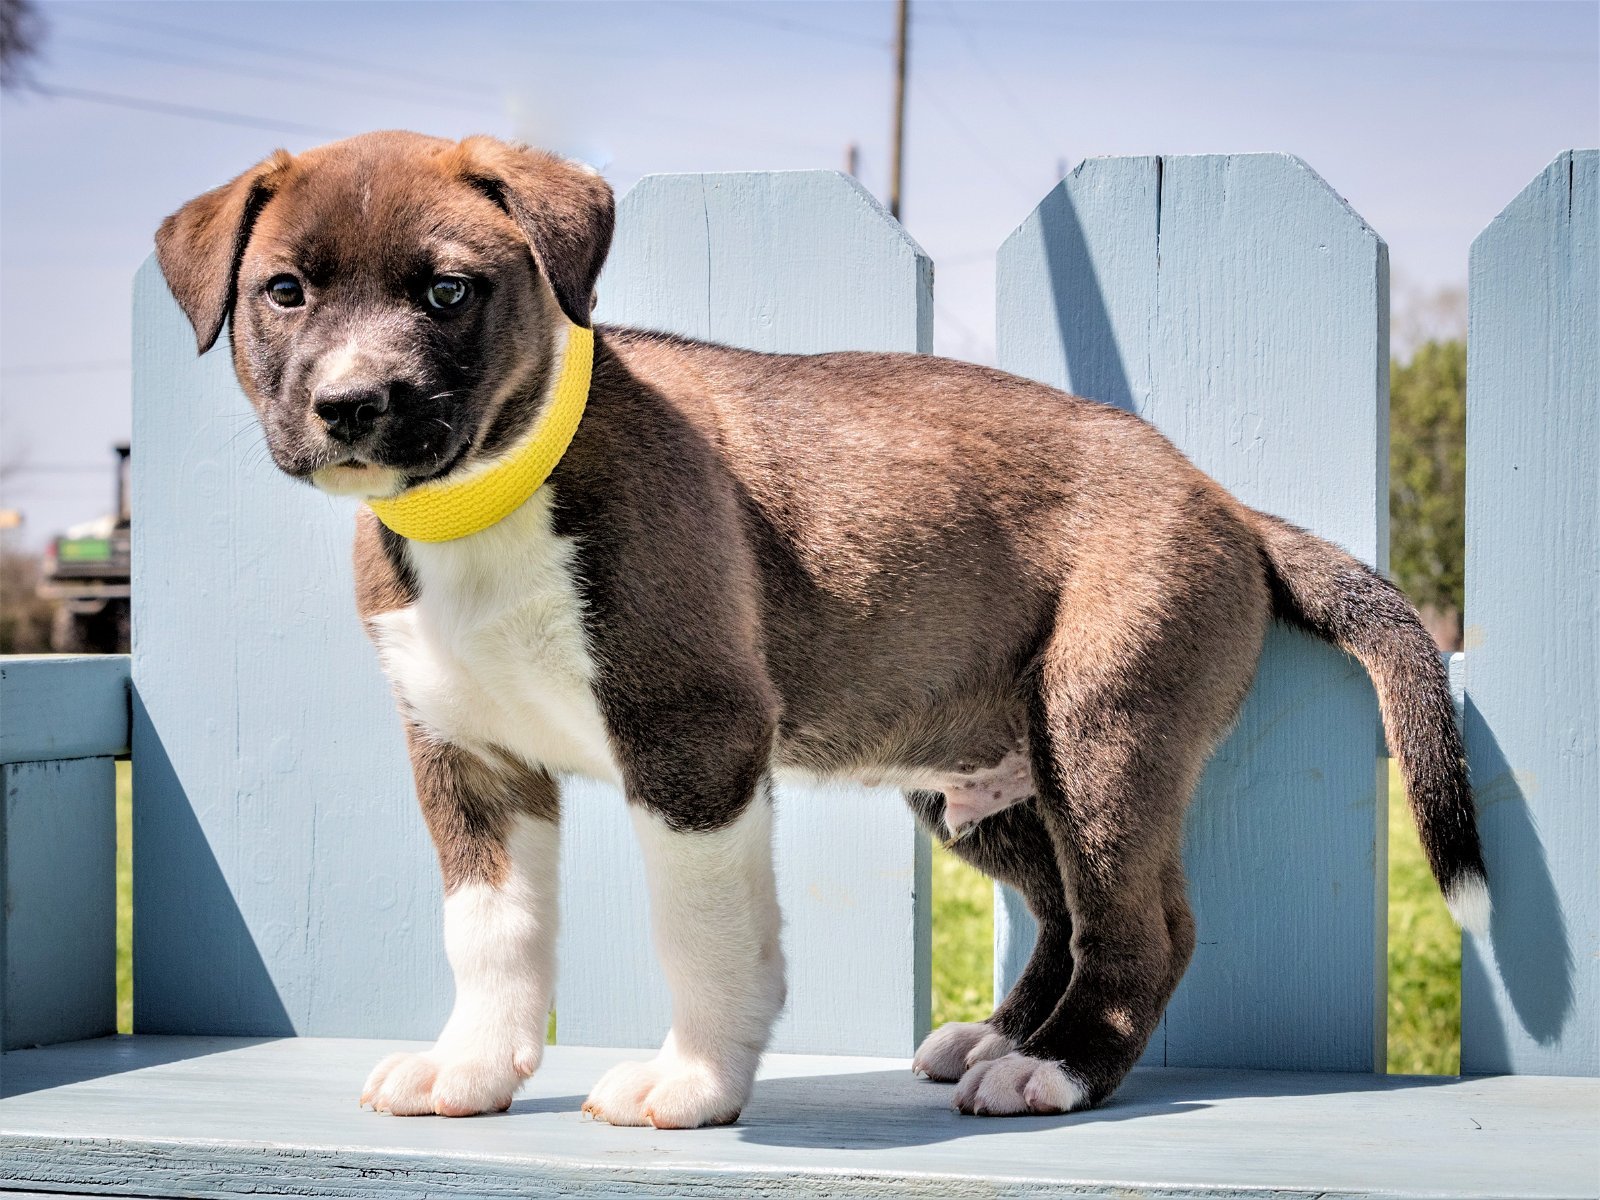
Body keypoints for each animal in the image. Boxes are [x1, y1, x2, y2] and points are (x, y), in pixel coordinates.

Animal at [152, 131, 1484, 1126]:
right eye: (284, 292)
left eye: (447, 290)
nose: (353, 405)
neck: (493, 496)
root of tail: (1216, 495)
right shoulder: (470, 762)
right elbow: (490, 934)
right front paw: (473, 1069)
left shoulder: (693, 747)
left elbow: (701, 935)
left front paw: (692, 1084)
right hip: (981, 787)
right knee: (1061, 912)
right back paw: (999, 1034)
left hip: (1101, 731)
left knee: (1141, 928)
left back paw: (1054, 1068)